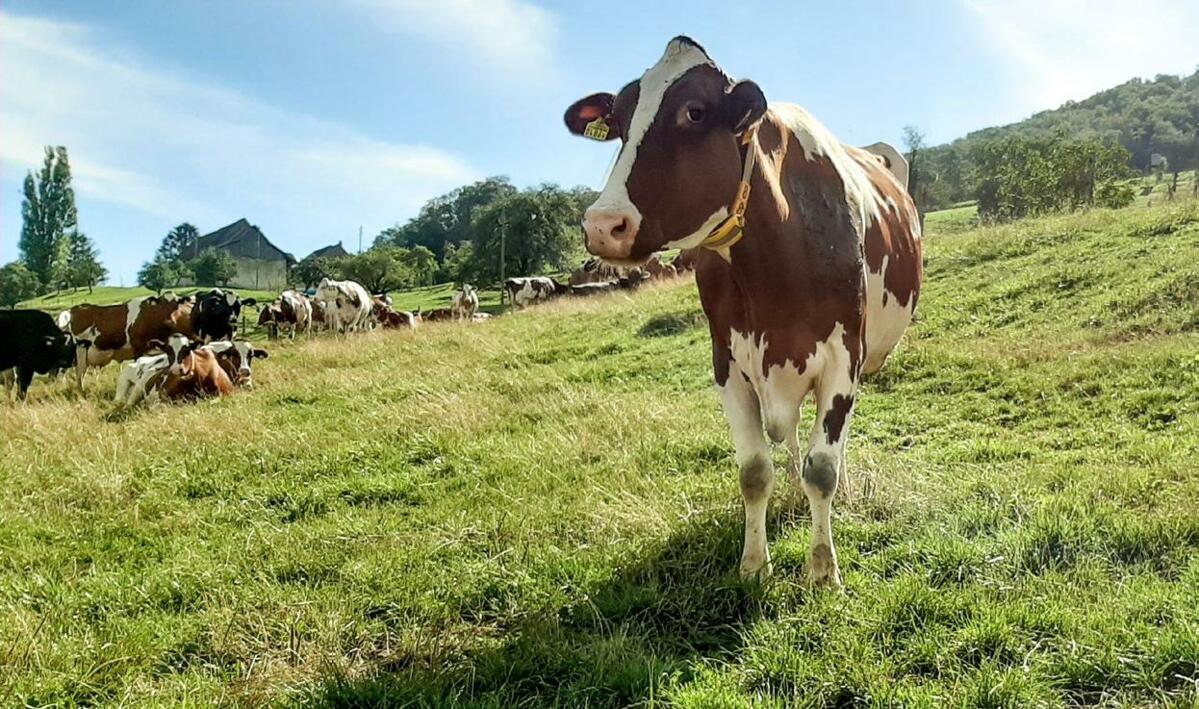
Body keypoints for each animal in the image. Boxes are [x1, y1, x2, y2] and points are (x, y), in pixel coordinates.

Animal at [65, 295, 194, 389]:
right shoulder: (138, 349)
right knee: (80, 375)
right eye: (160, 304)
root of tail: (75, 308)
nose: (169, 321)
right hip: (80, 352)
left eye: (176, 304)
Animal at [564, 37, 922, 587]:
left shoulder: (844, 358)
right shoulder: (728, 362)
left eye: (694, 111)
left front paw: (824, 571)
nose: (603, 225)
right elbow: (754, 471)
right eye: (619, 121)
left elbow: (823, 467)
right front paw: (754, 564)